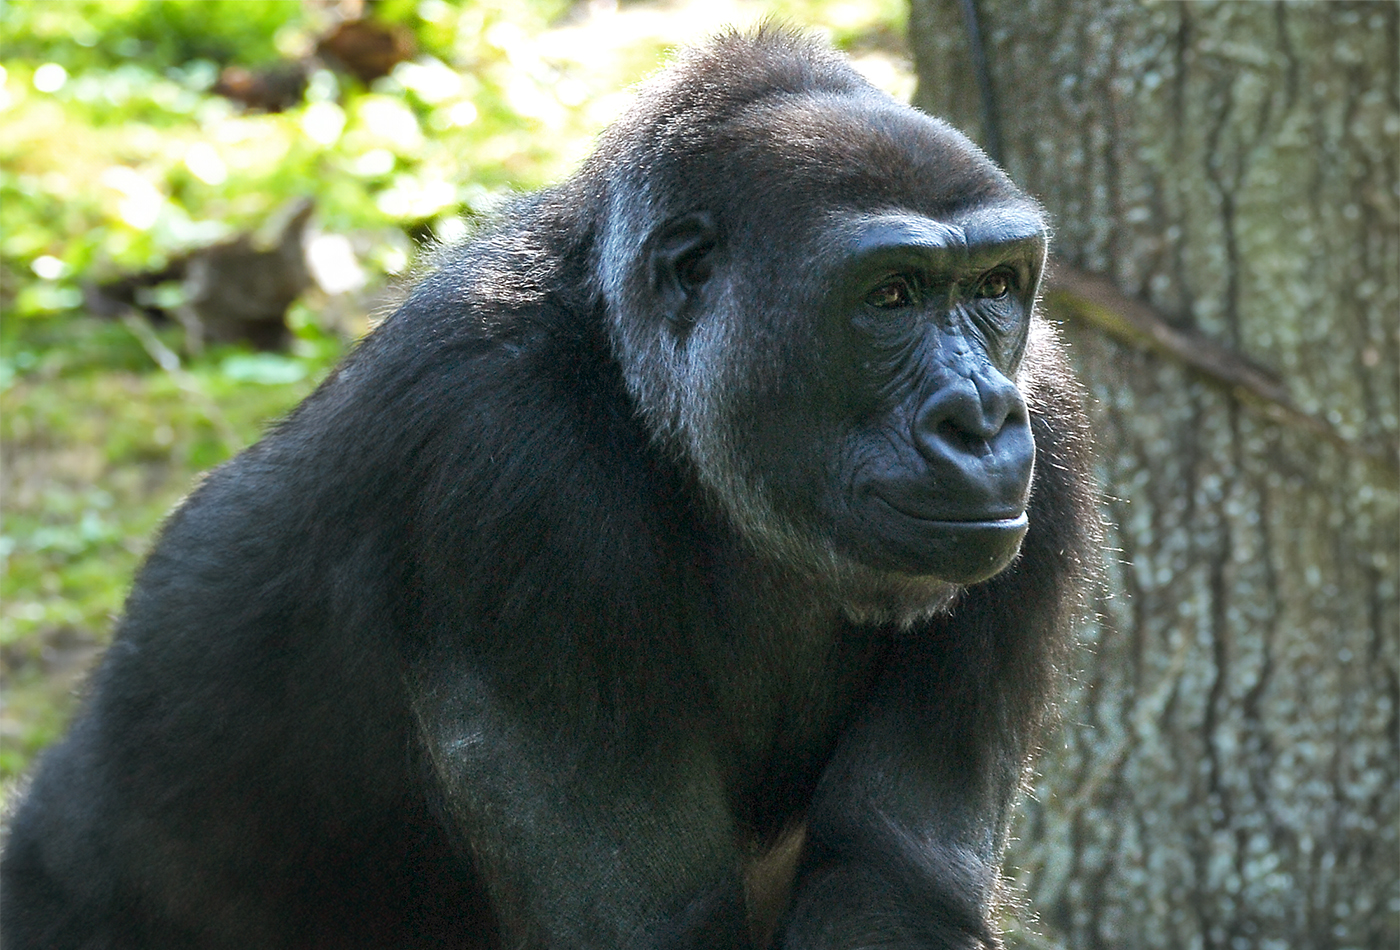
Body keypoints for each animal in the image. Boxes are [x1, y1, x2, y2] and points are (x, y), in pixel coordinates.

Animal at [0, 26, 1092, 945]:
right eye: (890, 296)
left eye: (995, 287)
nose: (979, 419)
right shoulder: (499, 462)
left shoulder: (1050, 414)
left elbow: (890, 880)